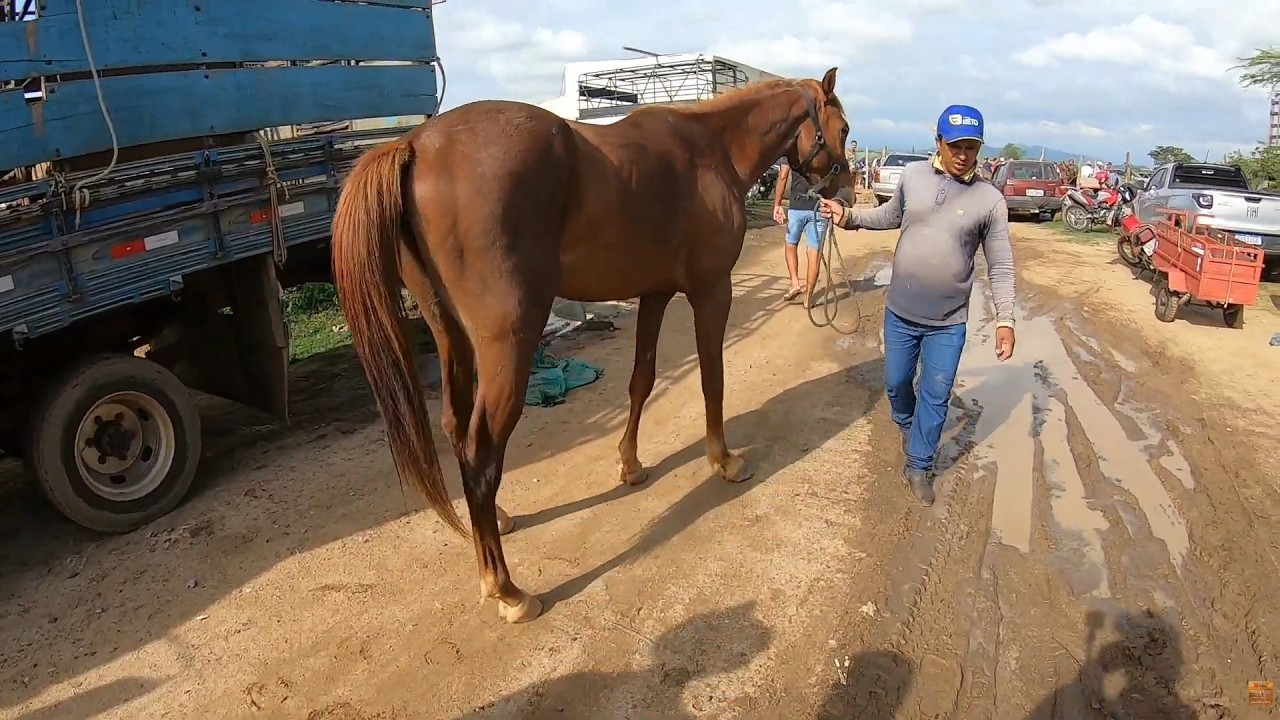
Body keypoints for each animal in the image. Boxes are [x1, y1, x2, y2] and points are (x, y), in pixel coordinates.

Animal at [330, 67, 852, 624]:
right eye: (841, 127)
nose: (843, 192)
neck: (712, 148)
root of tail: (414, 144)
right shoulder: (712, 290)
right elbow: (712, 377)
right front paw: (724, 460)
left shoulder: (655, 292)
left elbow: (642, 380)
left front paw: (630, 465)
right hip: (507, 344)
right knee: (482, 454)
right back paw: (507, 590)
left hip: (450, 333)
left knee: (456, 428)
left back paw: (495, 522)